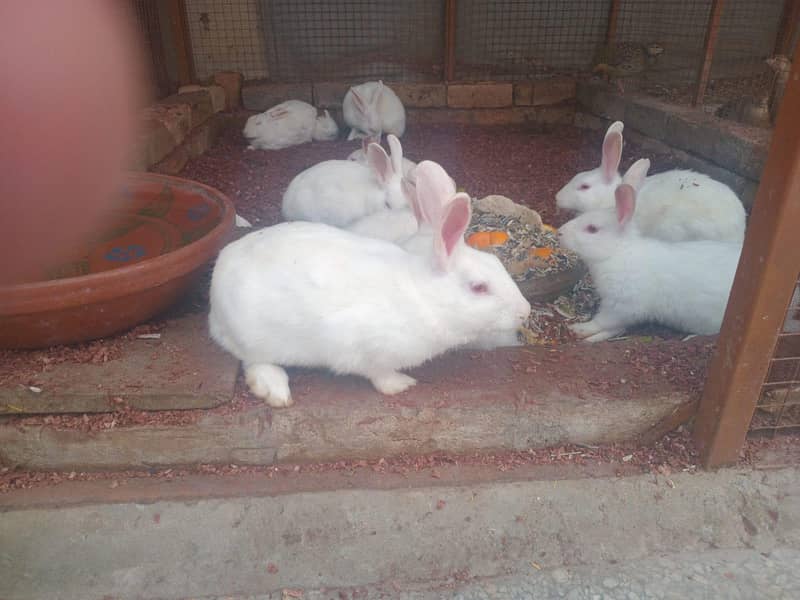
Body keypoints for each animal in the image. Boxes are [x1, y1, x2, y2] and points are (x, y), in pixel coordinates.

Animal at [208, 160, 532, 406]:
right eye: (479, 287)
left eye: (498, 265)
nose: (525, 311)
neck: (423, 295)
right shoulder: (364, 348)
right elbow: (379, 374)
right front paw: (402, 384)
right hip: (256, 337)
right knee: (253, 362)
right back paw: (275, 390)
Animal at [557, 183, 742, 343]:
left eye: (592, 229)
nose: (560, 232)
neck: (618, 252)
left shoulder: (621, 305)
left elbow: (602, 322)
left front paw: (579, 329)